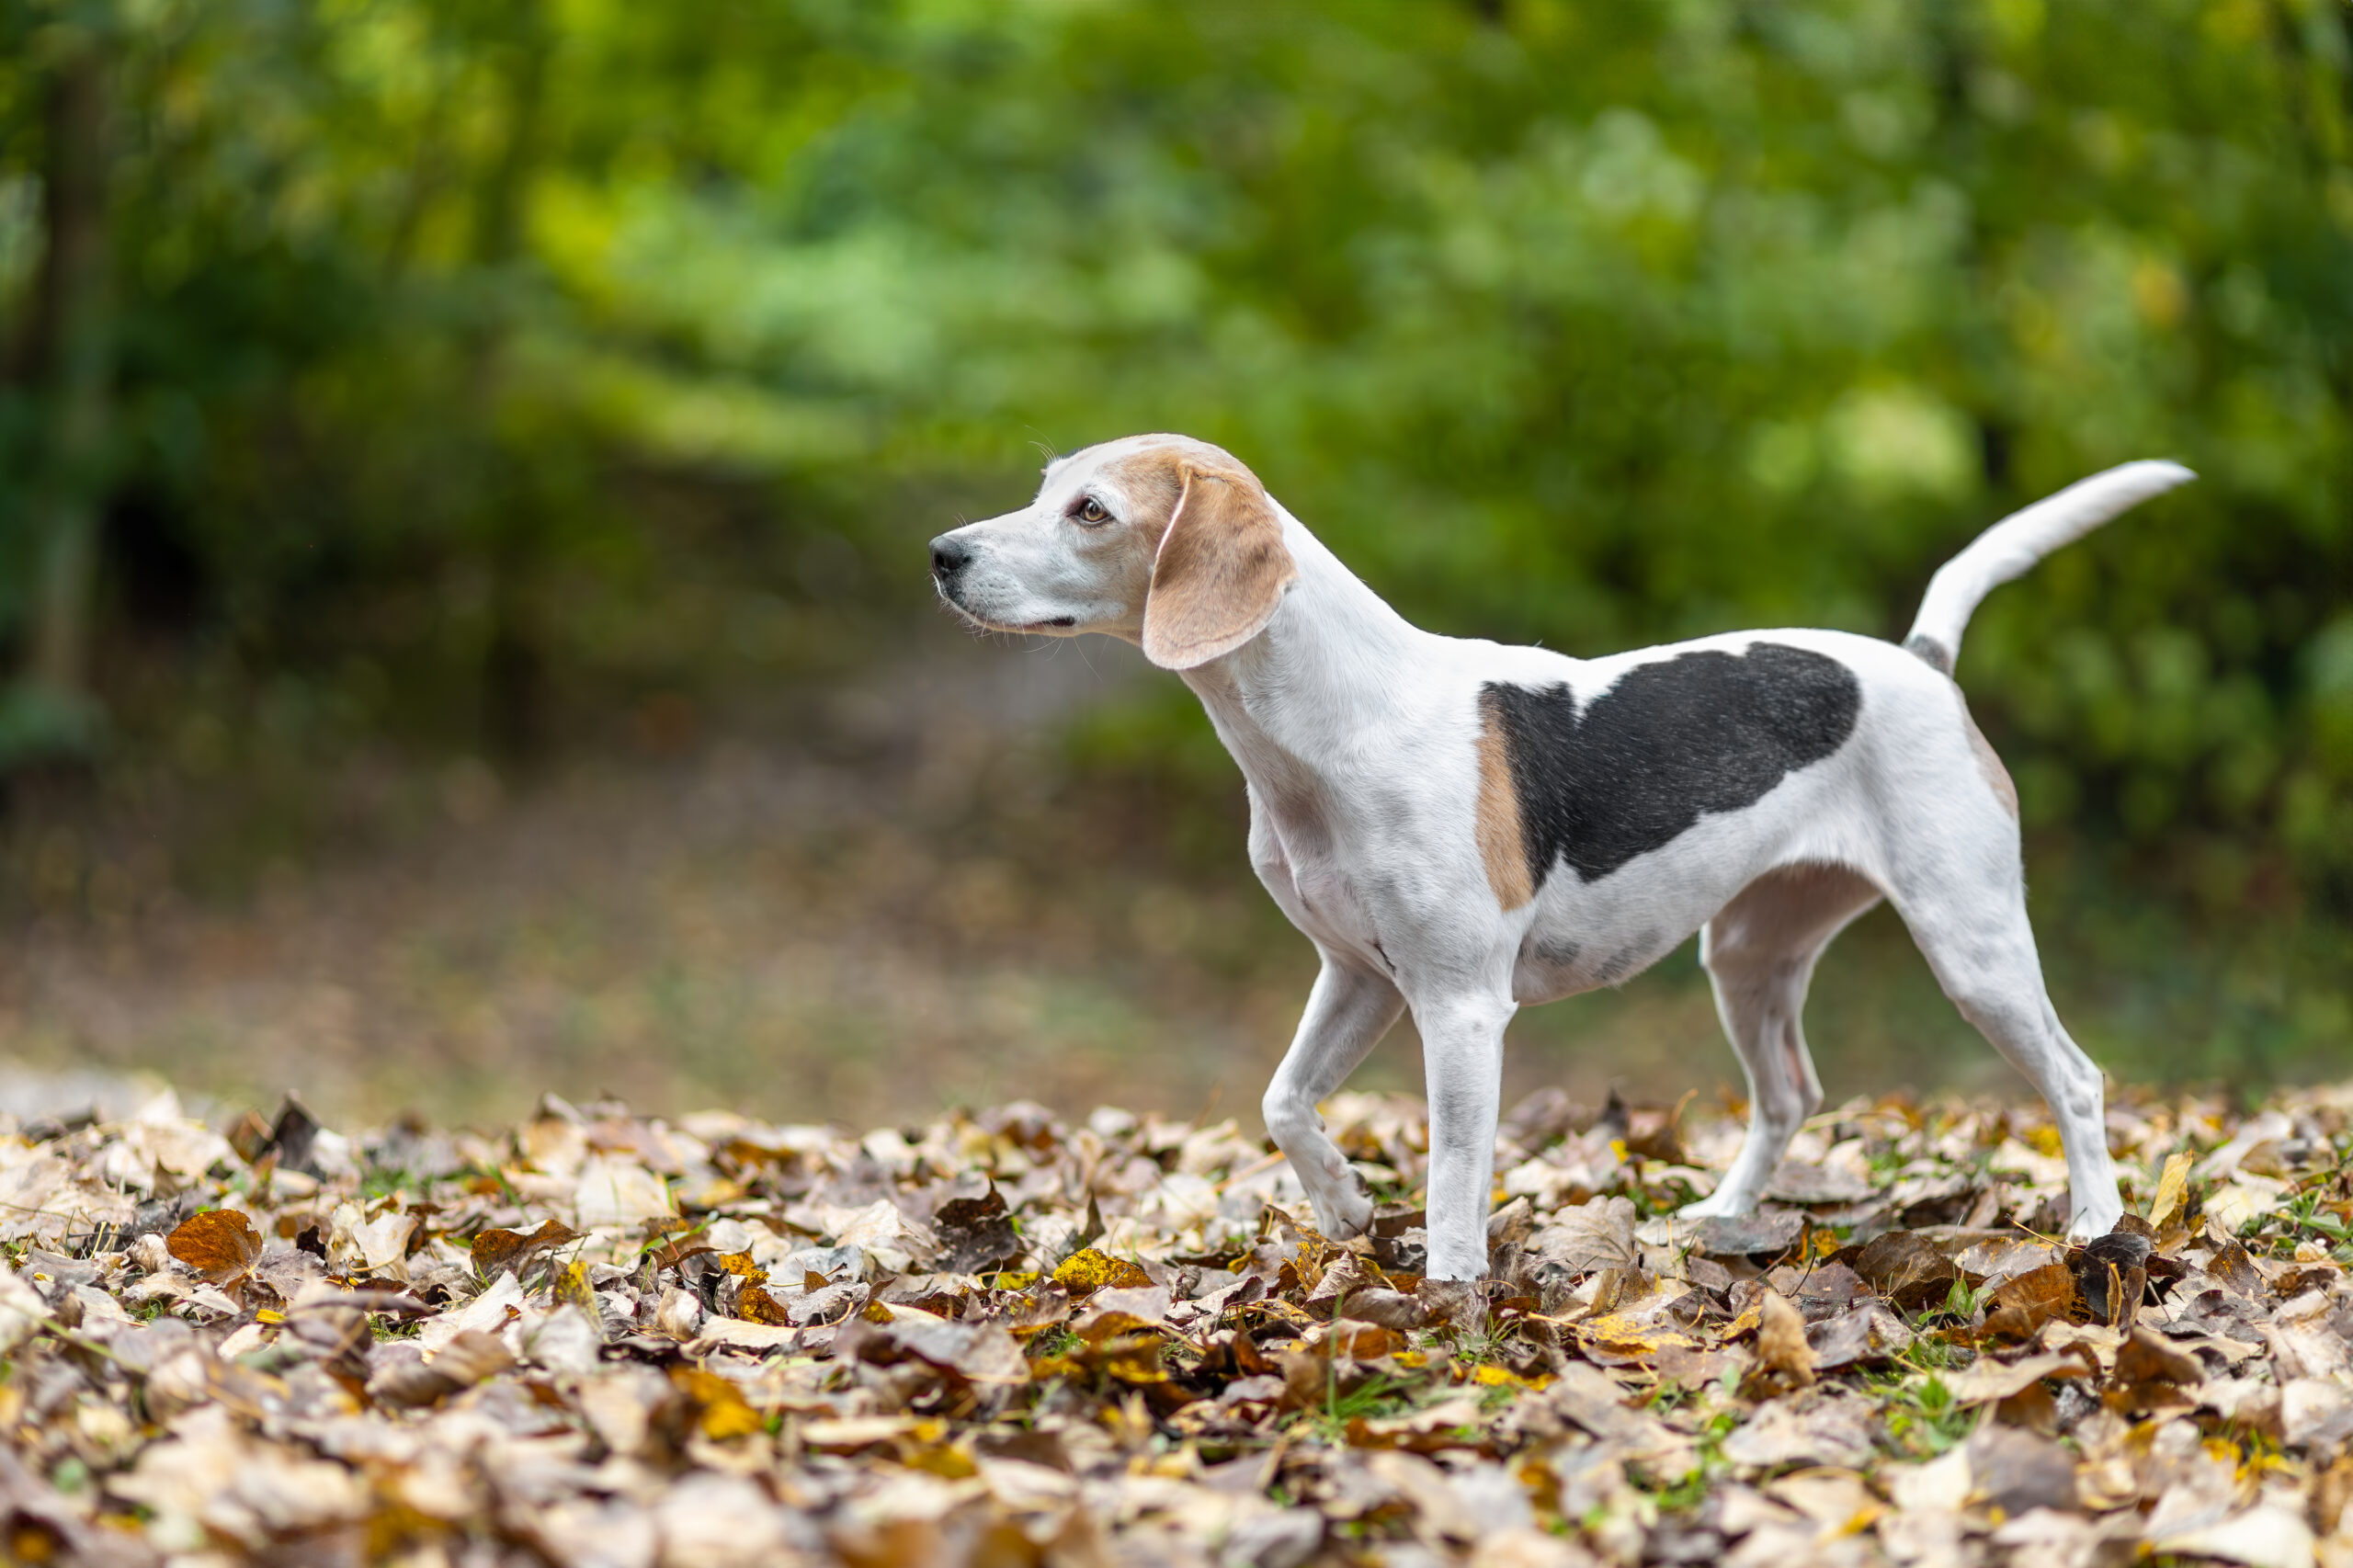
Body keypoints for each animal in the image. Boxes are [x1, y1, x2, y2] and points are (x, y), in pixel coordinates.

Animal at [926, 433, 2192, 1280]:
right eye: (1043, 488)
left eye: (1090, 510)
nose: (939, 552)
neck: (1332, 725)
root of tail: (1918, 659)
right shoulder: (1358, 977)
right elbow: (1283, 1100)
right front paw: (1343, 1210)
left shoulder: (1457, 1008)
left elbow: (1451, 1176)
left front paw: (1446, 1302)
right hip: (1747, 956)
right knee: (1789, 1091)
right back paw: (1717, 1221)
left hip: (1972, 945)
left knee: (2076, 1078)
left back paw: (2094, 1227)